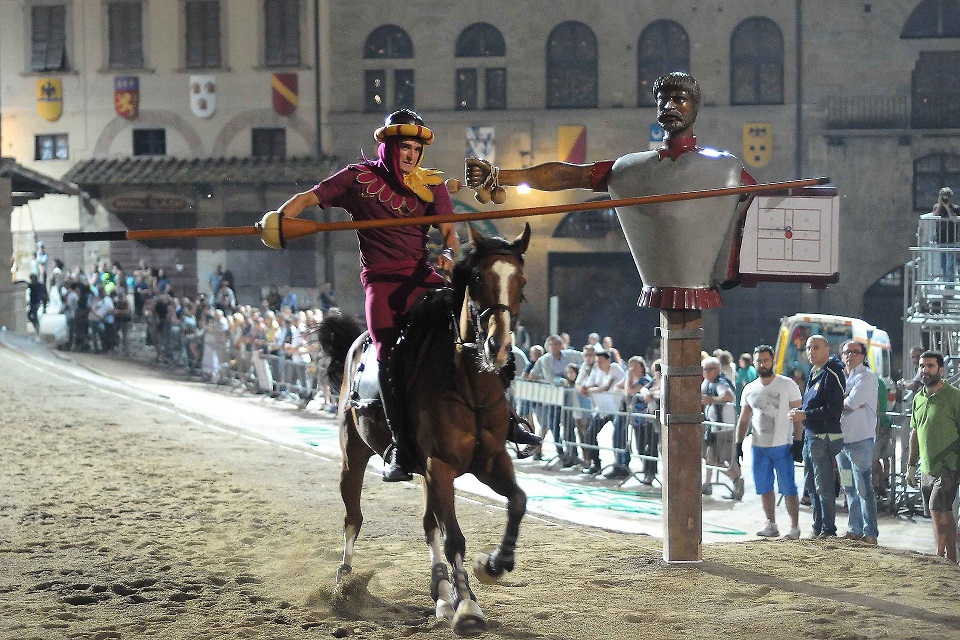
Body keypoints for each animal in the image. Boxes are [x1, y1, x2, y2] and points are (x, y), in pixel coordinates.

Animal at [318, 225, 532, 636]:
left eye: (521, 280)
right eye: (478, 279)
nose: (497, 347)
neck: (468, 386)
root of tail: (355, 342)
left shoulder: (491, 461)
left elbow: (517, 502)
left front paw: (492, 567)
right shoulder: (440, 466)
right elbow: (455, 538)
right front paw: (468, 608)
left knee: (429, 524)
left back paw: (442, 596)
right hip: (354, 456)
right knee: (354, 518)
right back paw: (343, 586)